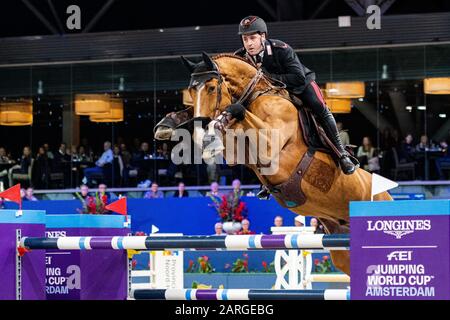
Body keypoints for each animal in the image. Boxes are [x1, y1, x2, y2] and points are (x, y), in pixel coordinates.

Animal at [156, 53, 394, 276]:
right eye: (190, 91)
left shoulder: (270, 147)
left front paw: (223, 119)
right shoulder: (237, 153)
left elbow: (241, 113)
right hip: (342, 251)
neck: (256, 96)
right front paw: (169, 124)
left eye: (212, 88)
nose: (200, 135)